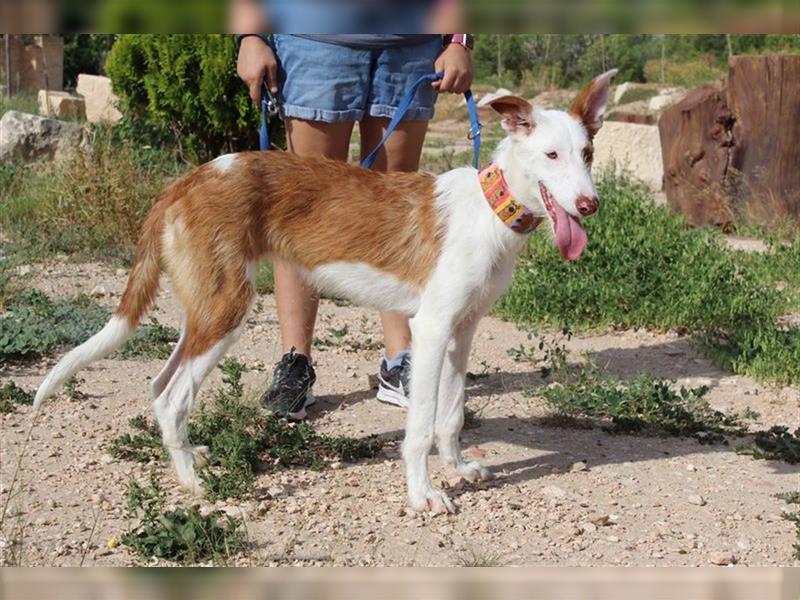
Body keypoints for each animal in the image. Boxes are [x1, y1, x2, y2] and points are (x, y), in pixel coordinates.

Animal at [32, 69, 620, 510]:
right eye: (551, 156)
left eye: (589, 153)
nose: (589, 205)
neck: (489, 212)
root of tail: (183, 182)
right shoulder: (431, 329)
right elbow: (420, 426)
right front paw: (424, 494)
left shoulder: (464, 330)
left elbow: (450, 415)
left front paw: (458, 468)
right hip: (228, 308)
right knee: (174, 395)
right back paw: (194, 484)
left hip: (204, 308)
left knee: (159, 386)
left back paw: (188, 460)